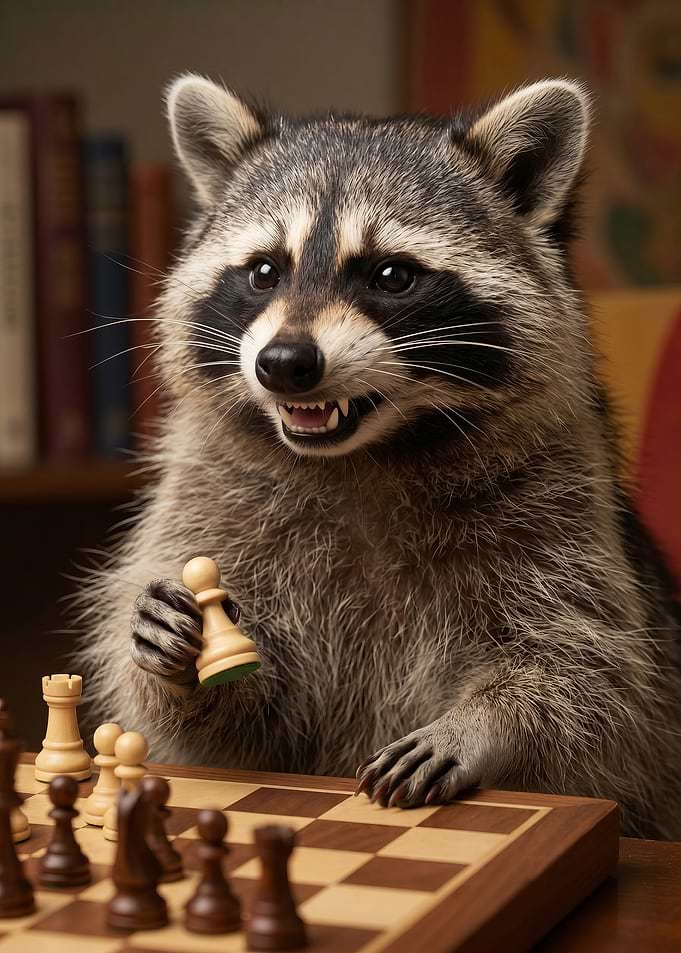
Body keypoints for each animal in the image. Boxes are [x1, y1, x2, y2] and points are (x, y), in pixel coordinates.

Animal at [77, 75, 681, 839]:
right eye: (264, 271)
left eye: (392, 275)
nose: (284, 364)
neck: (365, 456)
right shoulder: (210, 500)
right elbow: (237, 734)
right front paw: (181, 666)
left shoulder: (562, 502)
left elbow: (585, 674)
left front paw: (484, 724)